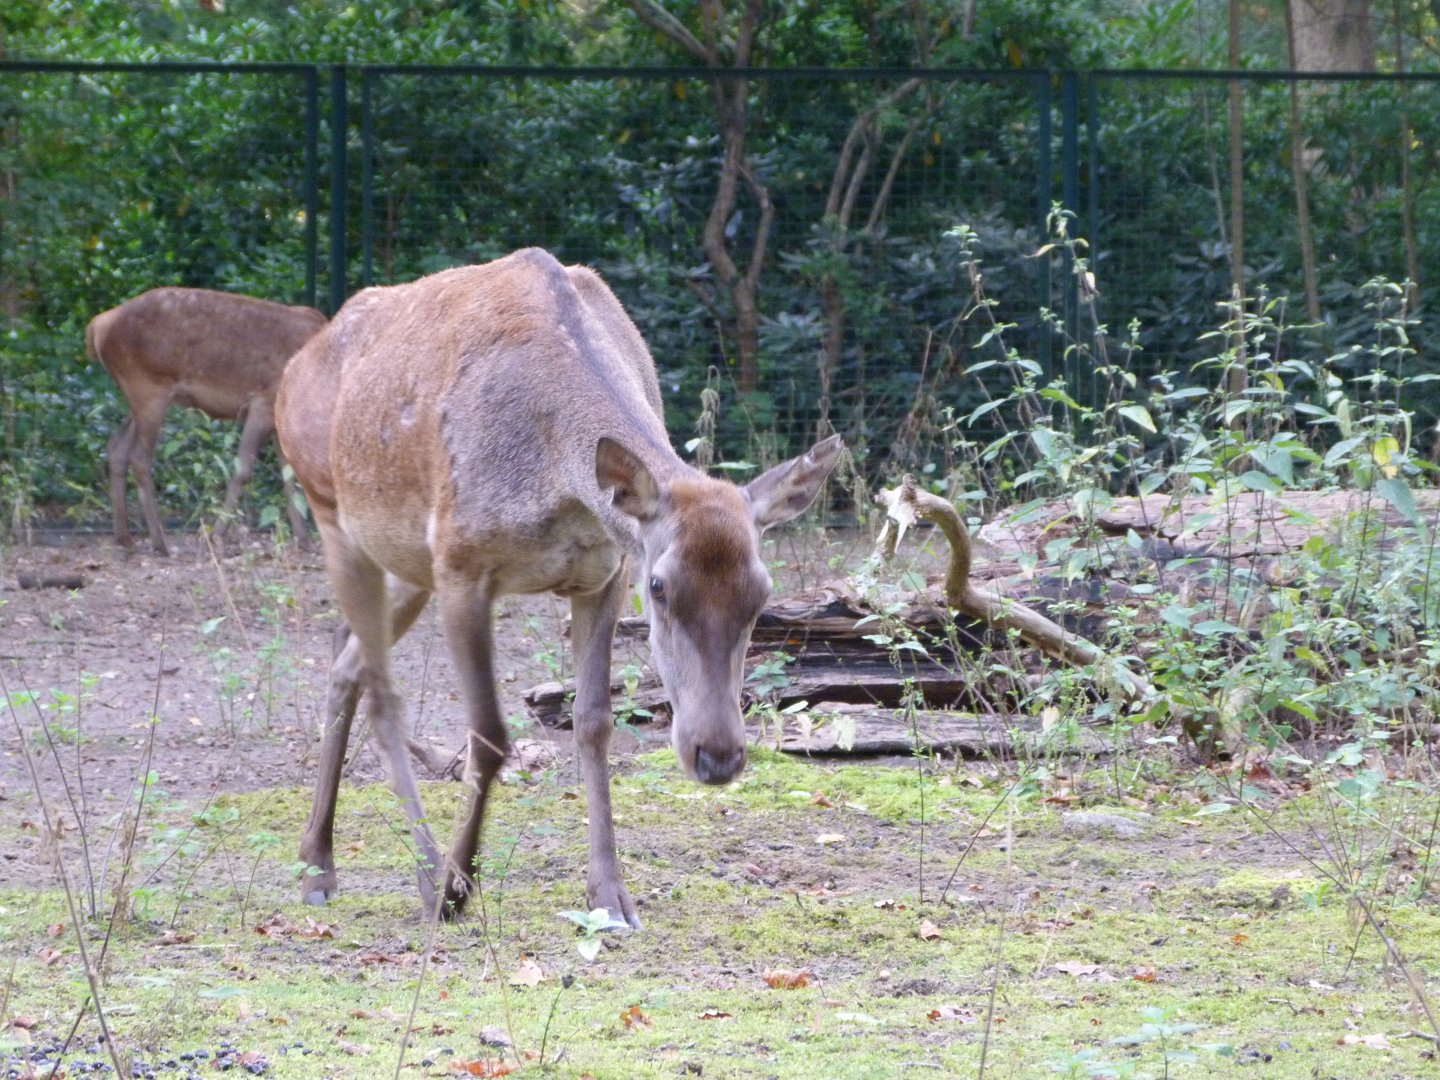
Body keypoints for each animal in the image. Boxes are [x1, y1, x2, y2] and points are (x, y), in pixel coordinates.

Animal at [86, 287, 327, 556]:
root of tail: (98, 325)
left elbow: (289, 479)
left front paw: (303, 539)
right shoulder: (263, 403)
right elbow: (243, 470)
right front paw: (218, 534)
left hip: (136, 397)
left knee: (116, 446)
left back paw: (123, 537)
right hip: (148, 387)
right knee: (139, 457)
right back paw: (160, 542)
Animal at [274, 247, 842, 926]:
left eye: (761, 593)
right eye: (660, 586)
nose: (718, 756)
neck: (556, 484)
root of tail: (290, 371)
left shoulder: (602, 574)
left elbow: (593, 720)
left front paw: (610, 895)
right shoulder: (462, 564)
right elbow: (489, 735)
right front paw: (458, 887)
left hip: (408, 563)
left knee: (345, 664)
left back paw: (328, 862)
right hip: (333, 513)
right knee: (382, 690)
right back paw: (387, 875)